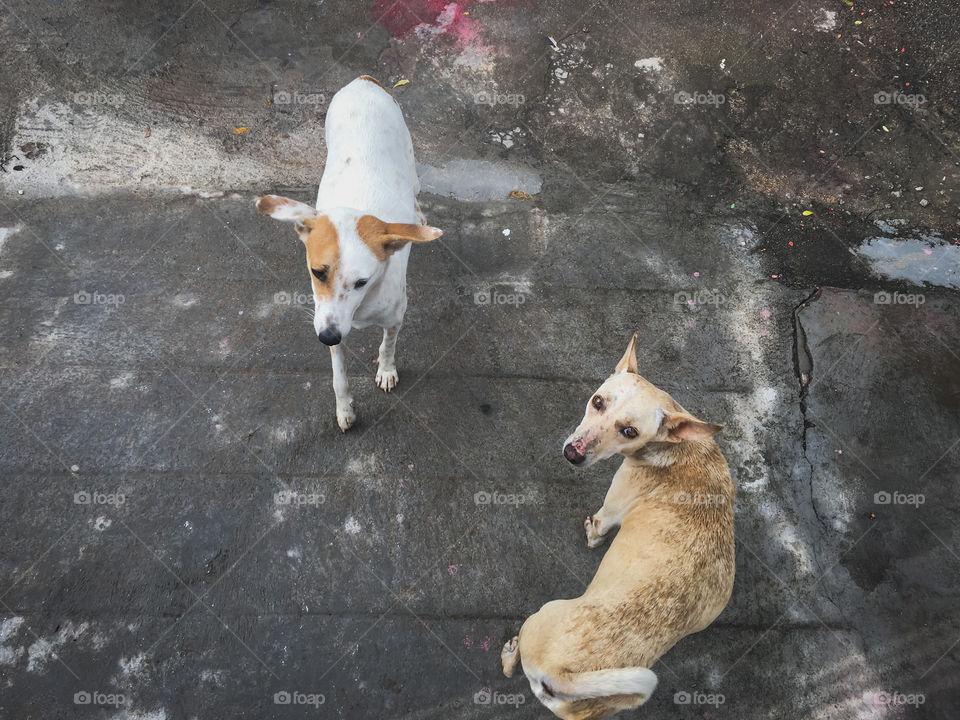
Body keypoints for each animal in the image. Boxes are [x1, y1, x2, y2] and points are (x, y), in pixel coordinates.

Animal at [258, 76, 446, 430]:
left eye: (362, 282)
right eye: (317, 272)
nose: (328, 337)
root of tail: (363, 80)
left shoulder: (395, 317)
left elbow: (387, 346)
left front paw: (386, 370)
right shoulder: (330, 323)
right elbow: (339, 376)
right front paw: (344, 408)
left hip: (409, 159)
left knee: (415, 195)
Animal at [502, 334, 736, 720]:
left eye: (630, 431)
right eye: (597, 402)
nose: (573, 454)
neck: (675, 448)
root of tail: (565, 677)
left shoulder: (609, 510)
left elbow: (597, 530)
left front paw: (590, 537)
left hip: (540, 615)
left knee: (512, 663)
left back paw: (509, 652)